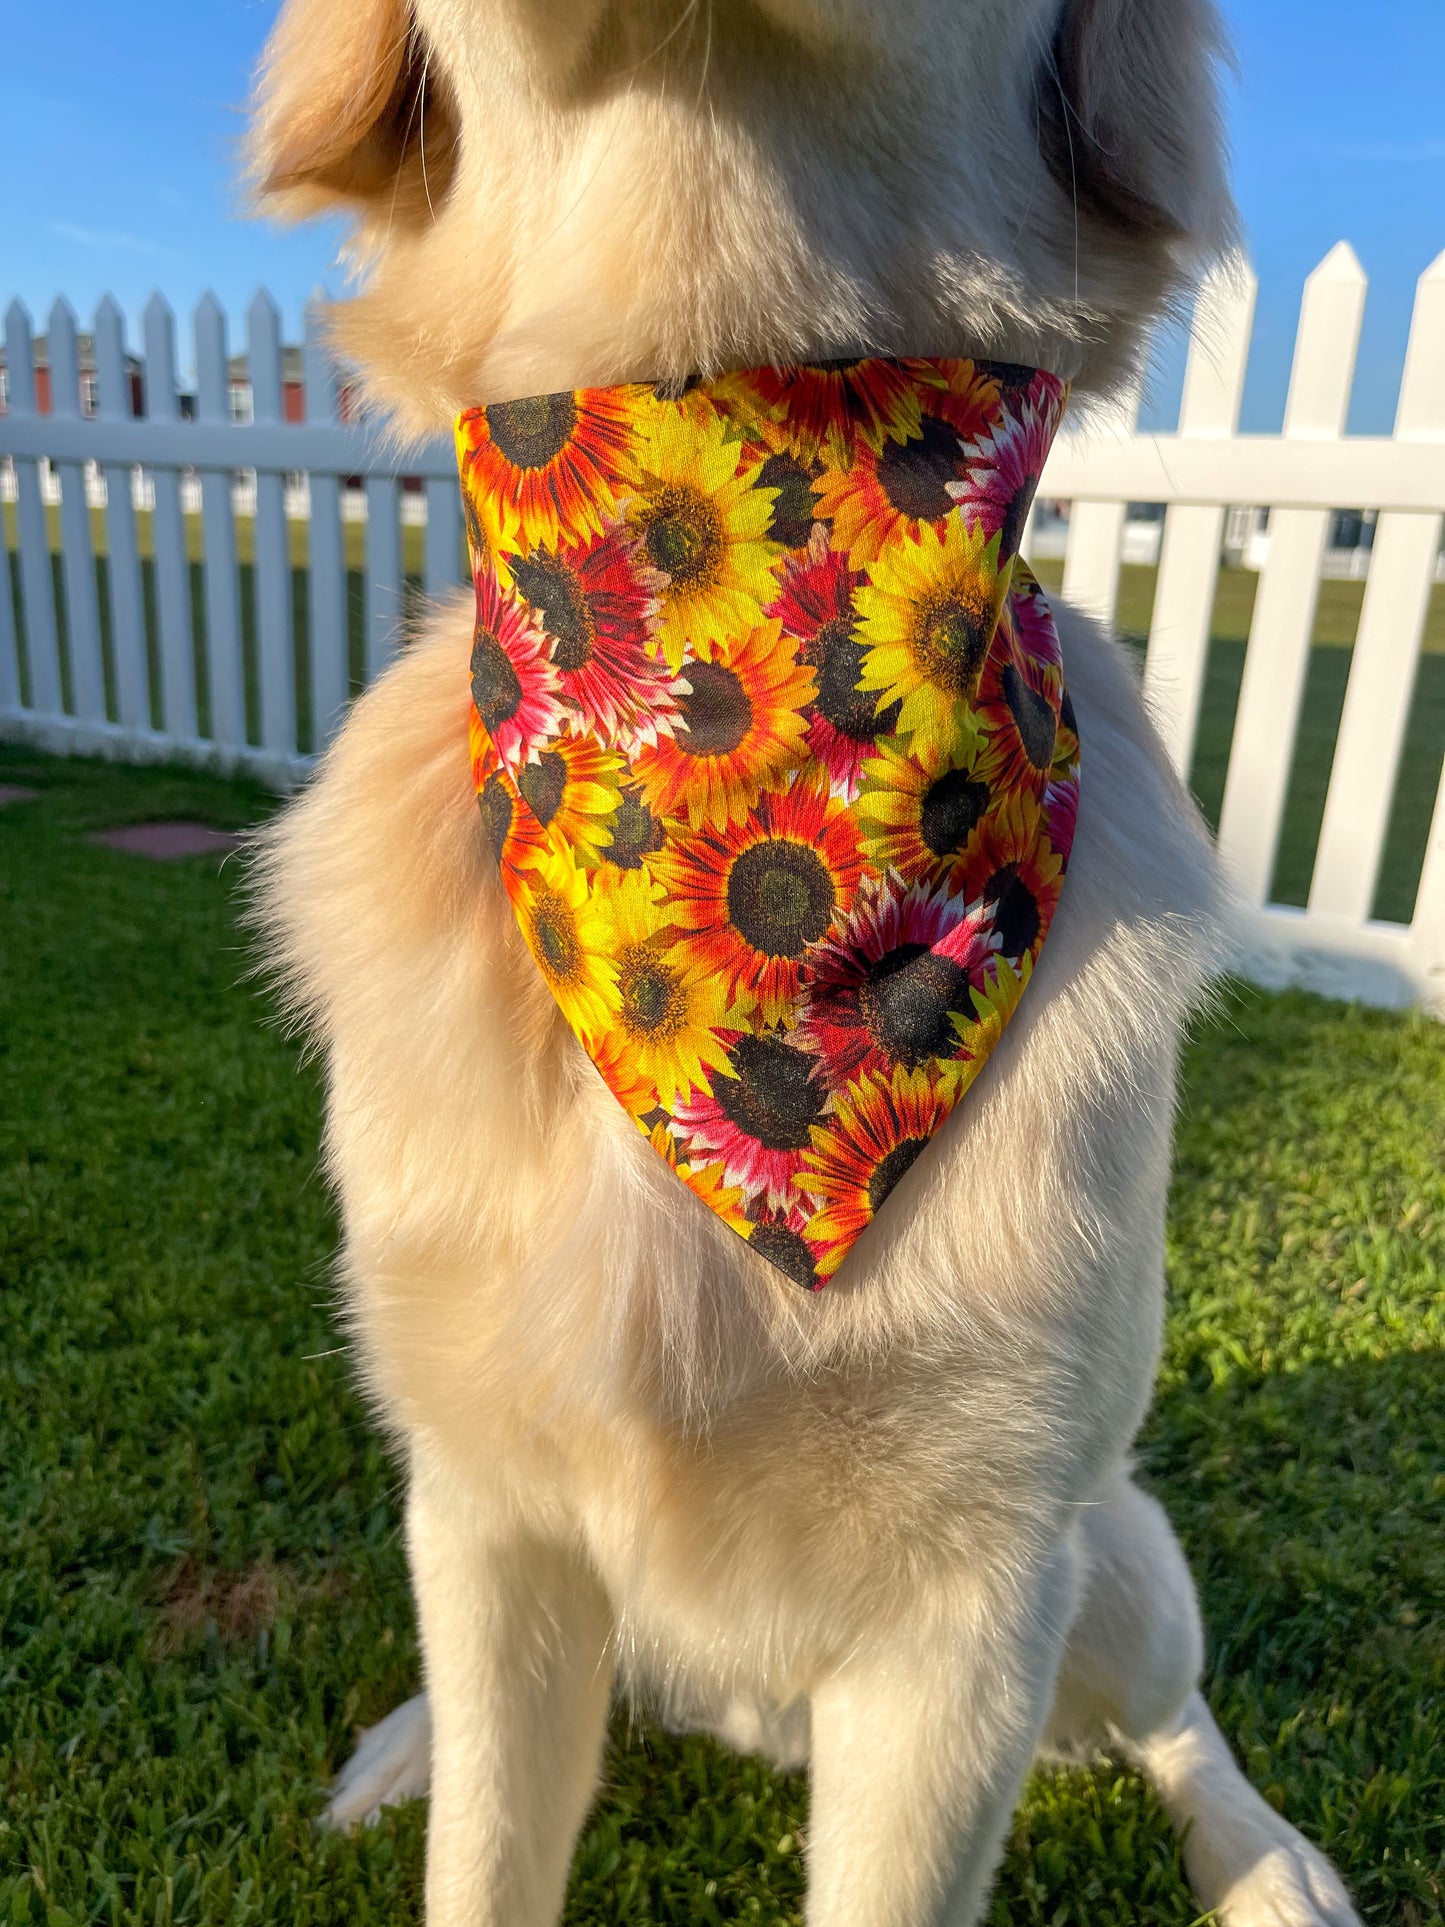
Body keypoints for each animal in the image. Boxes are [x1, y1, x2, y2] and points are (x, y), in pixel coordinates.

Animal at [248, 0, 1371, 1919]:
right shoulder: (484, 1503)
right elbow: (486, 1848)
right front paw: (434, 1776)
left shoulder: (976, 1587)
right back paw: (404, 1743)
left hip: (1119, 1550)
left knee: (1178, 1718)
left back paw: (1266, 1859)